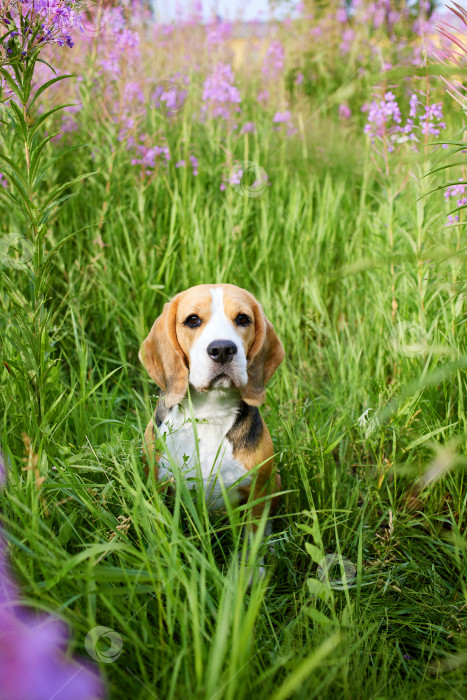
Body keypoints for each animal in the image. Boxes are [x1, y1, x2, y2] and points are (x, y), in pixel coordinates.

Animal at [139, 280, 286, 556]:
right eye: (193, 320)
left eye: (242, 319)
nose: (223, 349)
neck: (210, 415)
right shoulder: (157, 485)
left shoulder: (257, 493)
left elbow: (252, 544)